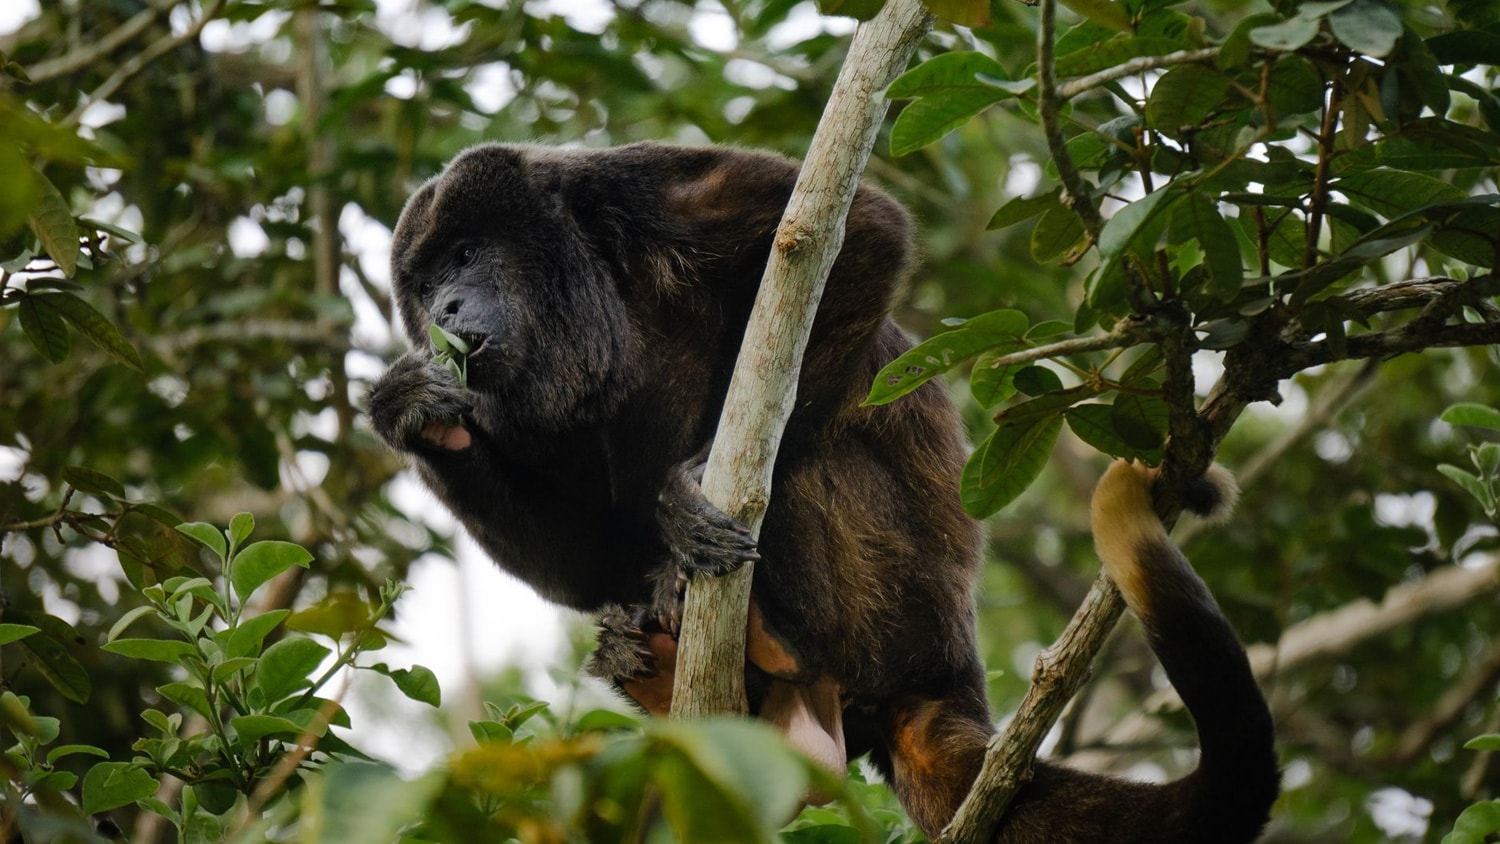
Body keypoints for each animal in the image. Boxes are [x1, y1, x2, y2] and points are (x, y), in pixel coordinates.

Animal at [366, 141, 1279, 841]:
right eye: (423, 286)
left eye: (465, 255)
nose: (445, 306)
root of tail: (950, 668)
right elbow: (587, 562)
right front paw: (413, 411)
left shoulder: (627, 191)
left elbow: (856, 231)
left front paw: (687, 495)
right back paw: (657, 661)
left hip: (898, 603)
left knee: (810, 458)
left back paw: (770, 627)